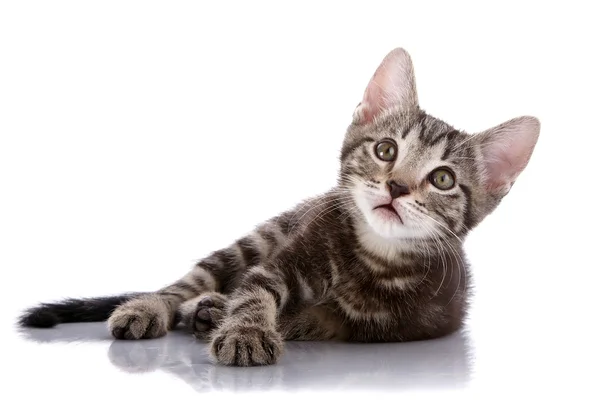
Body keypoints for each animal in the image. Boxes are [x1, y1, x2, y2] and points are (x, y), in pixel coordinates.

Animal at [18, 47, 540, 366]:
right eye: (386, 150)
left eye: (443, 179)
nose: (395, 187)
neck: (377, 256)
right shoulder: (290, 255)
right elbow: (256, 289)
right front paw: (246, 328)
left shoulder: (388, 323)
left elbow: (311, 316)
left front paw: (229, 318)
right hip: (260, 236)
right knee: (189, 281)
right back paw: (156, 305)